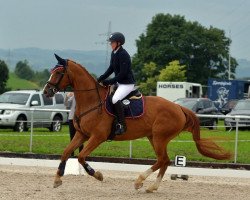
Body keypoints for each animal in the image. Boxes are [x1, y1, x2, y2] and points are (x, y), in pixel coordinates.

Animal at [43, 54, 232, 192]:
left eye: (58, 73)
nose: (46, 92)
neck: (91, 101)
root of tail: (179, 107)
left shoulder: (98, 137)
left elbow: (81, 156)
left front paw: (97, 175)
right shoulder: (82, 134)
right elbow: (66, 152)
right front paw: (57, 179)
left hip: (159, 137)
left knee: (162, 160)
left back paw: (140, 181)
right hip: (154, 137)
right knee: (164, 161)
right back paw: (151, 187)